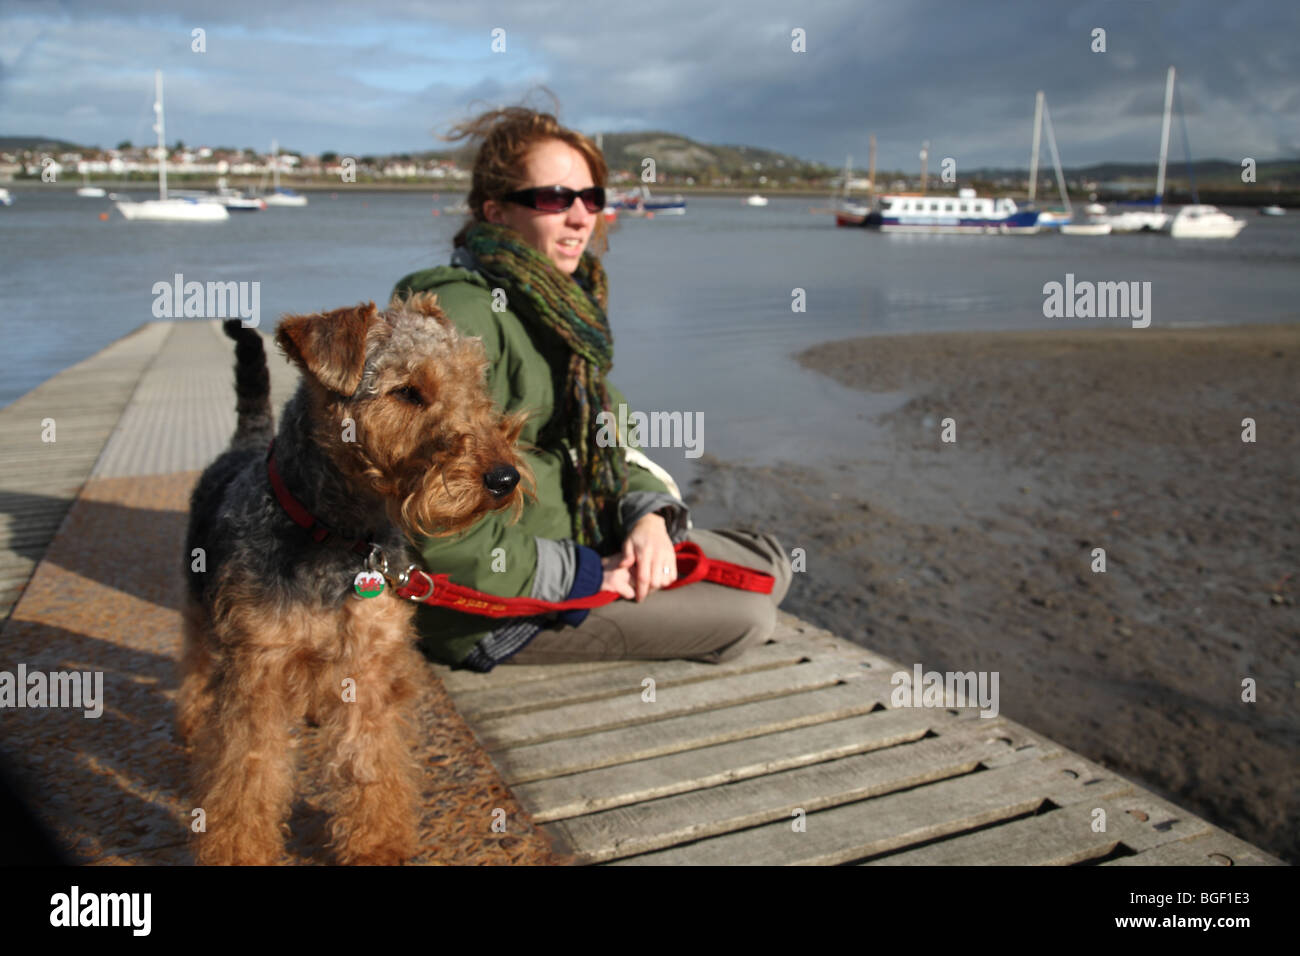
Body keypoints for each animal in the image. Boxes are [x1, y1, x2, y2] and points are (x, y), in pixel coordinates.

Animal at [178, 297, 527, 868]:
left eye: (474, 380)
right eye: (406, 391)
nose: (504, 478)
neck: (339, 536)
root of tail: (242, 443)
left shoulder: (367, 663)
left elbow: (370, 762)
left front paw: (377, 843)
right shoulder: (258, 671)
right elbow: (248, 773)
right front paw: (239, 851)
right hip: (199, 608)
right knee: (195, 665)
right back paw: (191, 720)